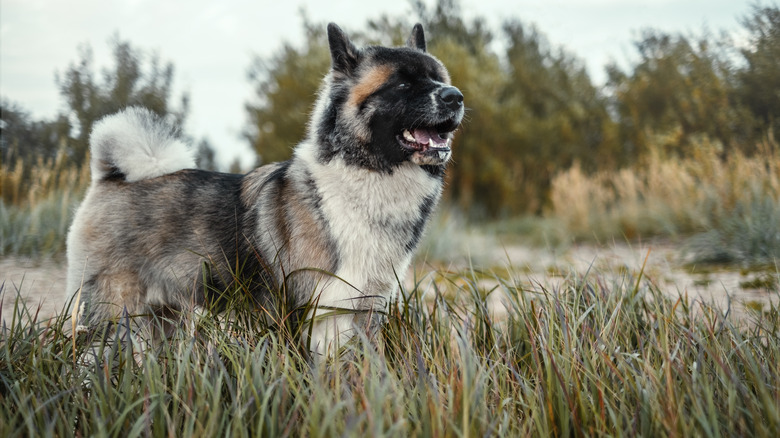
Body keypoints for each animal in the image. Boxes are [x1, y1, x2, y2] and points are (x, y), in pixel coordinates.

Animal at [65, 22, 464, 356]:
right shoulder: (325, 312)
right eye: (402, 84)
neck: (367, 174)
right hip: (108, 313)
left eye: (438, 78)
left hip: (164, 316)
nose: (455, 96)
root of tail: (110, 176)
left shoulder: (368, 310)